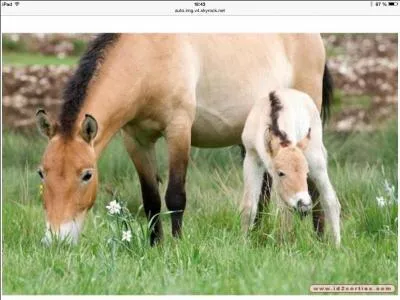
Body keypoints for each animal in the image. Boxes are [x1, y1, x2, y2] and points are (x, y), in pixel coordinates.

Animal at [241, 89, 340, 246]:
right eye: (281, 173)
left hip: (315, 158)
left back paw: (337, 246)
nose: (304, 206)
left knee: (330, 200)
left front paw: (283, 246)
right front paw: (244, 244)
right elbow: (249, 206)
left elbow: (285, 212)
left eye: (306, 173)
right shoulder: (251, 156)